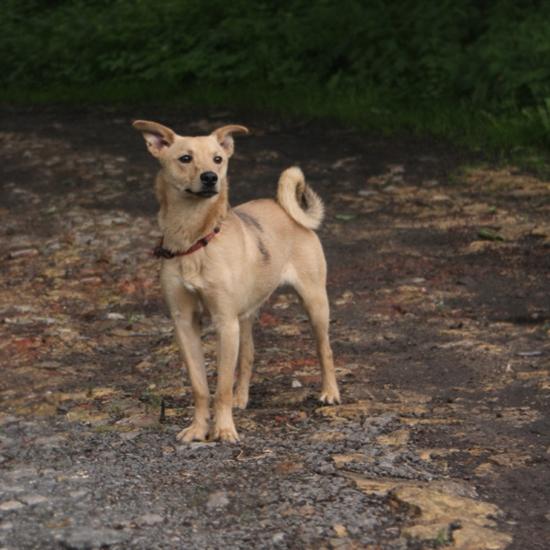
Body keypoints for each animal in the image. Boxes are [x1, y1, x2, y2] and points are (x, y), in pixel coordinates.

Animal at [134, 121, 340, 444]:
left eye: (218, 159)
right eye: (185, 158)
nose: (210, 177)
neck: (194, 239)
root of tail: (281, 206)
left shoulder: (224, 321)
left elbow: (221, 387)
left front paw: (224, 430)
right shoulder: (185, 322)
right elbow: (200, 385)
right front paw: (198, 429)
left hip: (314, 302)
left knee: (324, 349)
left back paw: (330, 392)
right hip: (245, 316)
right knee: (248, 355)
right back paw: (242, 397)